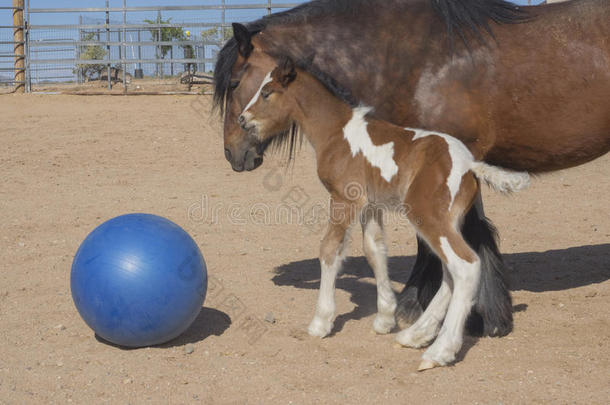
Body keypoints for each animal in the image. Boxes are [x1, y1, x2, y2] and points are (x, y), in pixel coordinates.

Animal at [238, 57, 528, 370]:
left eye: (267, 92)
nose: (242, 118)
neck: (337, 132)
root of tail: (470, 165)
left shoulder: (344, 199)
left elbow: (329, 249)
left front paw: (321, 322)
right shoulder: (370, 205)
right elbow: (374, 251)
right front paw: (385, 319)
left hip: (429, 218)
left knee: (465, 266)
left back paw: (439, 352)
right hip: (446, 223)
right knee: (450, 273)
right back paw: (415, 336)